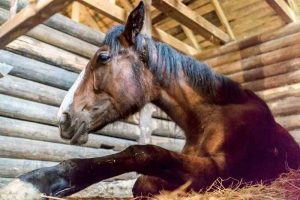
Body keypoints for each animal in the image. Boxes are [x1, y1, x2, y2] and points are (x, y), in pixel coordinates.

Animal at [0, 1, 300, 200]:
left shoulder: (219, 170)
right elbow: (141, 181)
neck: (208, 118)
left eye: (103, 57)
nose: (63, 118)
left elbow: (143, 153)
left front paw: (33, 183)